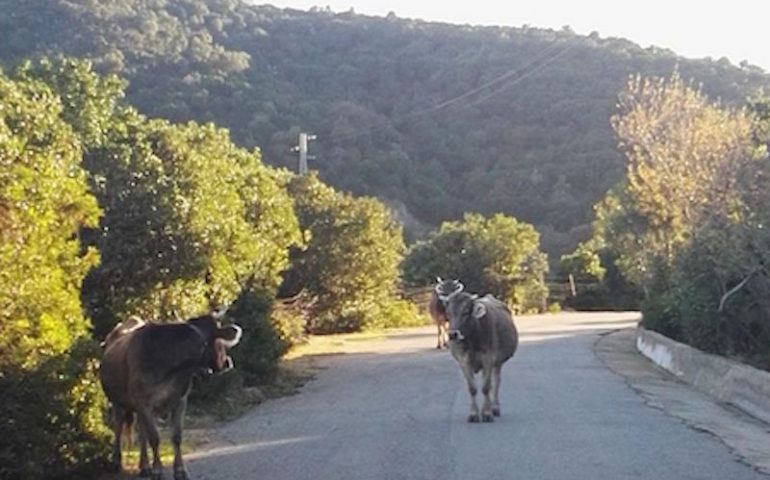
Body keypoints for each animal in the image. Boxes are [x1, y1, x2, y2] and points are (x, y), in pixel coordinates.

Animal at [100, 310, 240, 478]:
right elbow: (154, 437)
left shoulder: (180, 401)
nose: (227, 362)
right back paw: (116, 462)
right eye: (220, 342)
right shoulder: (144, 403)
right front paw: (157, 469)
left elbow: (176, 436)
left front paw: (179, 470)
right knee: (119, 428)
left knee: (141, 433)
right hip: (117, 402)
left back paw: (144, 466)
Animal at [436, 284, 520, 422]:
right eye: (448, 313)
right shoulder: (464, 360)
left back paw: (495, 408)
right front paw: (474, 414)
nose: (453, 334)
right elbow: (472, 388)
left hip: (498, 363)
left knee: (495, 383)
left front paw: (487, 413)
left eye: (466, 312)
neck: (473, 340)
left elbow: (486, 387)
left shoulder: (489, 358)